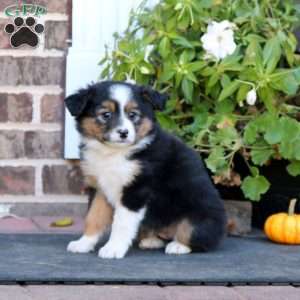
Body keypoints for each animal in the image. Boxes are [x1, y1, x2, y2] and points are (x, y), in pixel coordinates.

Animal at [65, 81, 225, 258]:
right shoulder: (99, 187)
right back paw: (151, 240)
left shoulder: (136, 190)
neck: (114, 153)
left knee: (197, 236)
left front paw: (113, 248)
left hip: (199, 212)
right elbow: (93, 217)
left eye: (133, 114)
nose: (123, 132)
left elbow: (121, 223)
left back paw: (178, 246)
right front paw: (83, 243)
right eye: (106, 114)